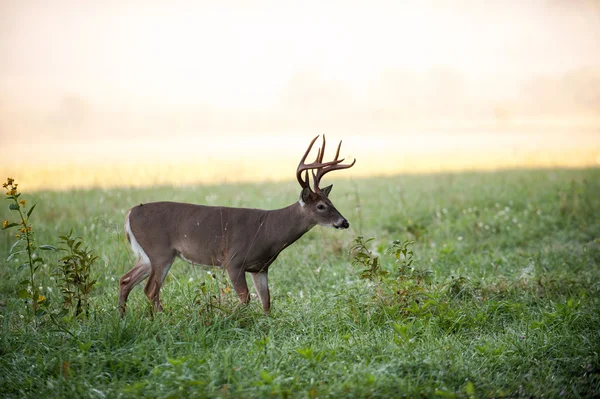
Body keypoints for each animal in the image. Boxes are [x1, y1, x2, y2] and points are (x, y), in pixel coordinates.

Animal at [118, 136, 356, 318]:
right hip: (161, 251)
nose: (344, 222)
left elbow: (266, 302)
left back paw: (122, 317)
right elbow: (245, 299)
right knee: (150, 289)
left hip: (147, 255)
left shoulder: (260, 267)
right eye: (321, 206)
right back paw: (163, 319)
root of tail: (130, 213)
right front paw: (229, 319)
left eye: (331, 202)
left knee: (125, 280)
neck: (269, 231)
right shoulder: (233, 261)